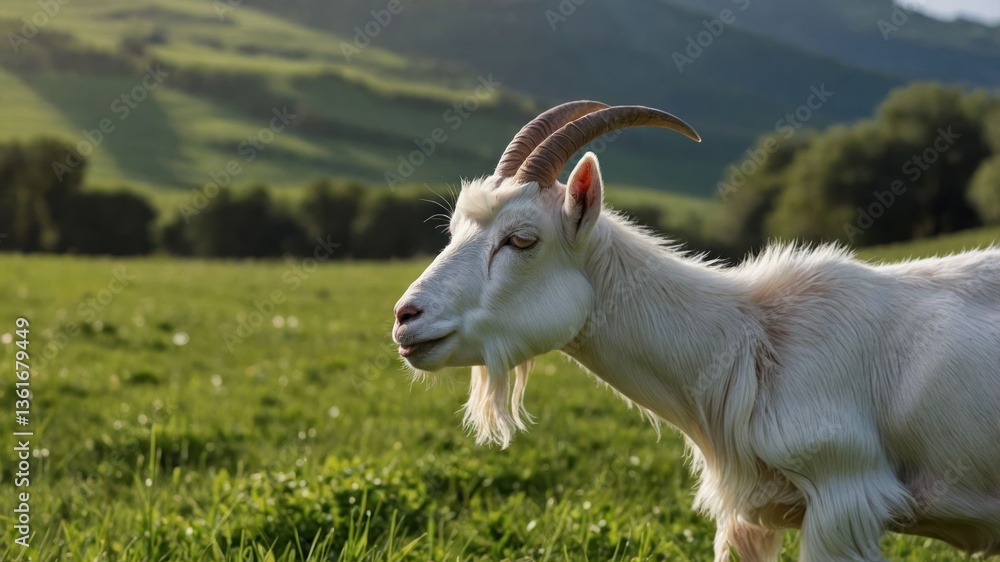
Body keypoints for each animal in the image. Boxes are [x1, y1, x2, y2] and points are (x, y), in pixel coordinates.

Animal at [391, 101, 1000, 561]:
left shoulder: (845, 496)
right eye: (454, 229)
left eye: (522, 239)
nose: (405, 317)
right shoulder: (748, 520)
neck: (747, 340)